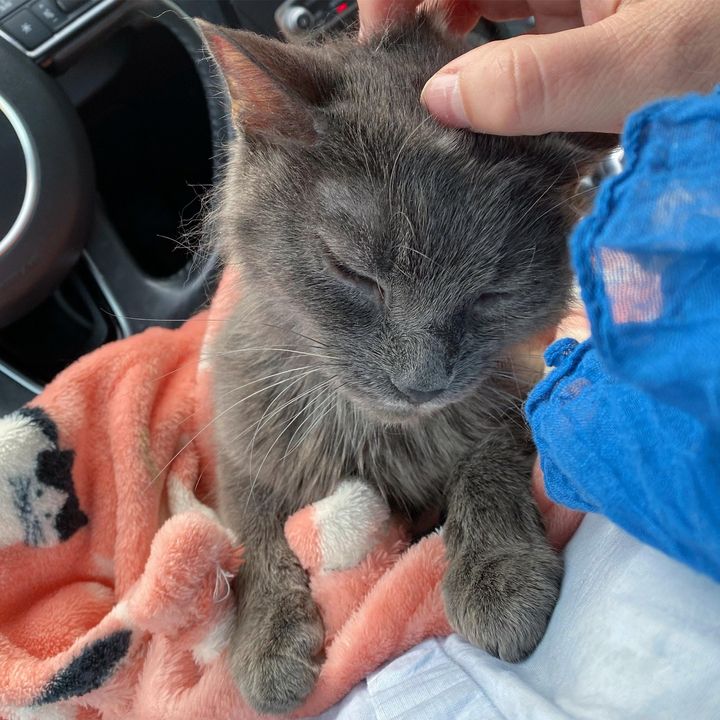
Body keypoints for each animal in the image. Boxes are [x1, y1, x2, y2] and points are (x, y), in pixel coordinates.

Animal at [197, 12, 612, 716]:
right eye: (350, 272)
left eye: (492, 292)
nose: (420, 381)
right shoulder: (241, 428)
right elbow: (252, 524)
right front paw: (266, 637)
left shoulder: (521, 385)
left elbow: (489, 455)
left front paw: (499, 574)